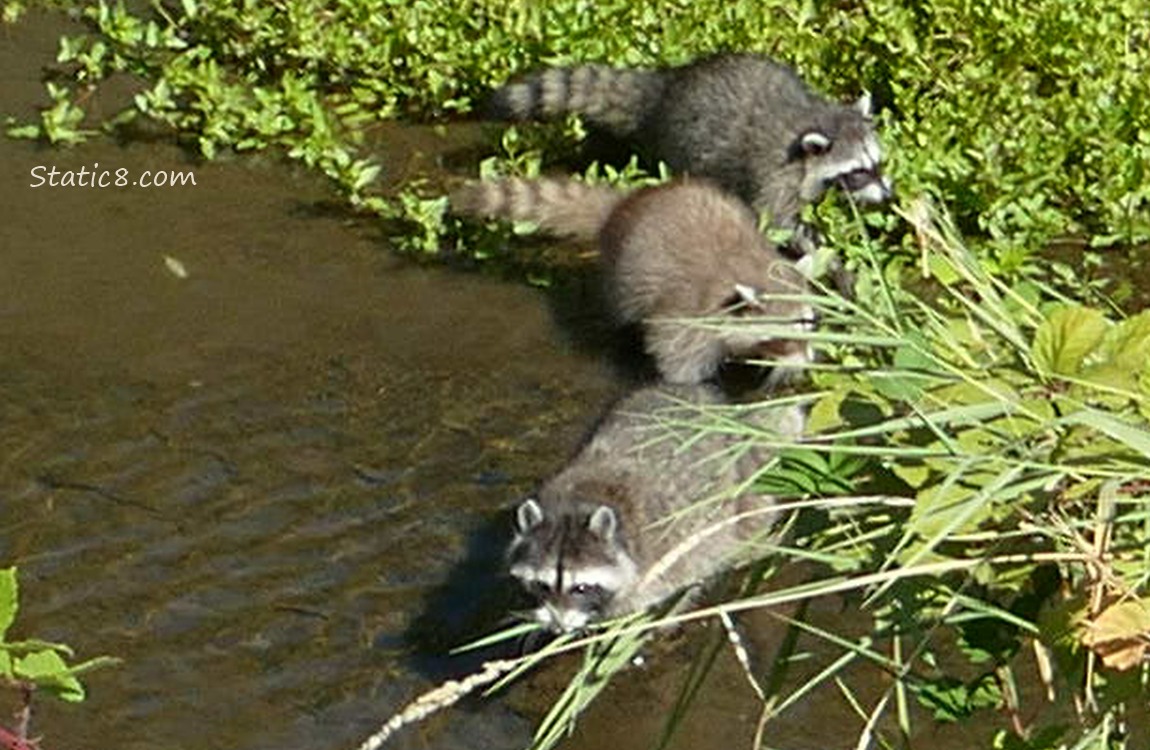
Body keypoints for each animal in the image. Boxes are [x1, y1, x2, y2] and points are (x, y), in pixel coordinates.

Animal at [451, 177, 813, 384]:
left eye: (809, 322)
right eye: (786, 333)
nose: (811, 362)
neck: (745, 263)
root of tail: (624, 203)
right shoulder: (685, 313)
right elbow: (676, 357)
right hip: (619, 276)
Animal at [488, 53, 892, 256]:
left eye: (877, 163)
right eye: (858, 171)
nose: (889, 196)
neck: (812, 117)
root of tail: (665, 87)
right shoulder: (775, 173)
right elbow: (776, 219)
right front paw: (814, 242)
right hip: (681, 143)